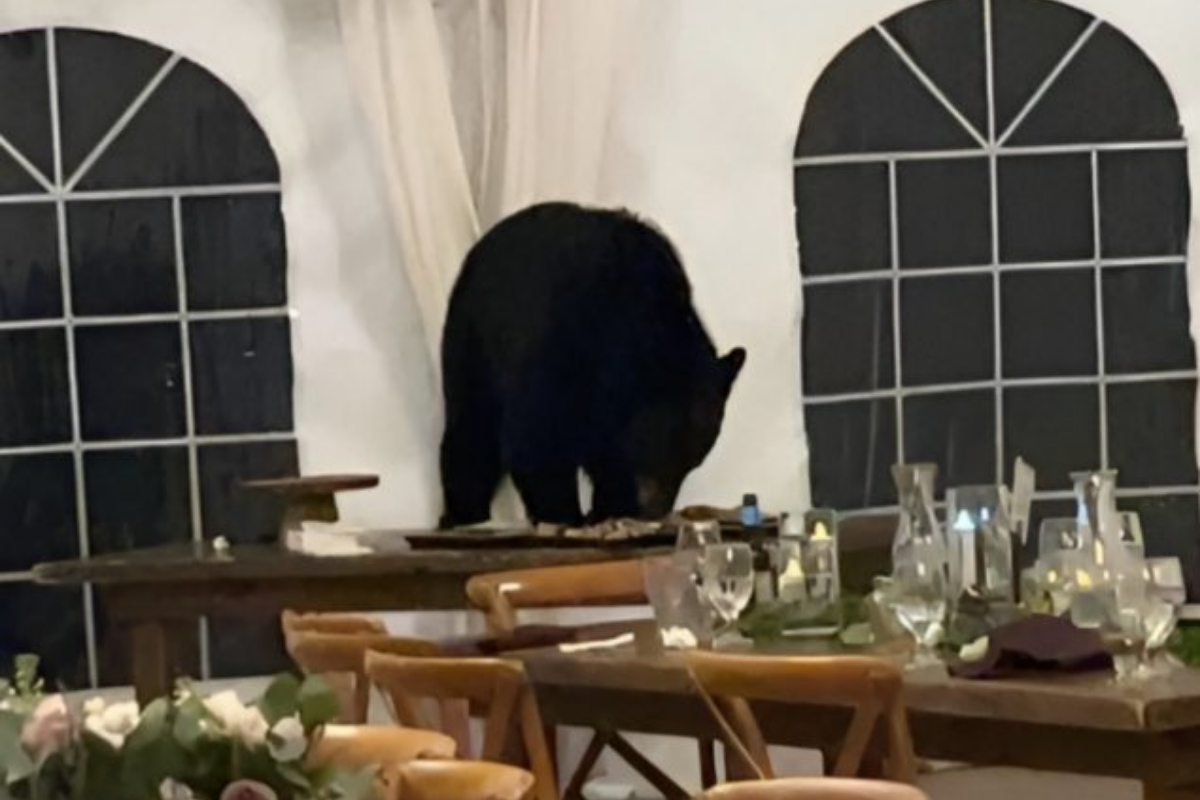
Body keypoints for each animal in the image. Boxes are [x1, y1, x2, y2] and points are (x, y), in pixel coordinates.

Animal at [438, 202, 746, 527]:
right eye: (656, 448)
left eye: (694, 459)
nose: (655, 510)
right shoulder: (559, 341)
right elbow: (537, 437)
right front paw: (565, 515)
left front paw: (611, 509)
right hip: (473, 341)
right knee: (471, 431)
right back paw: (462, 513)